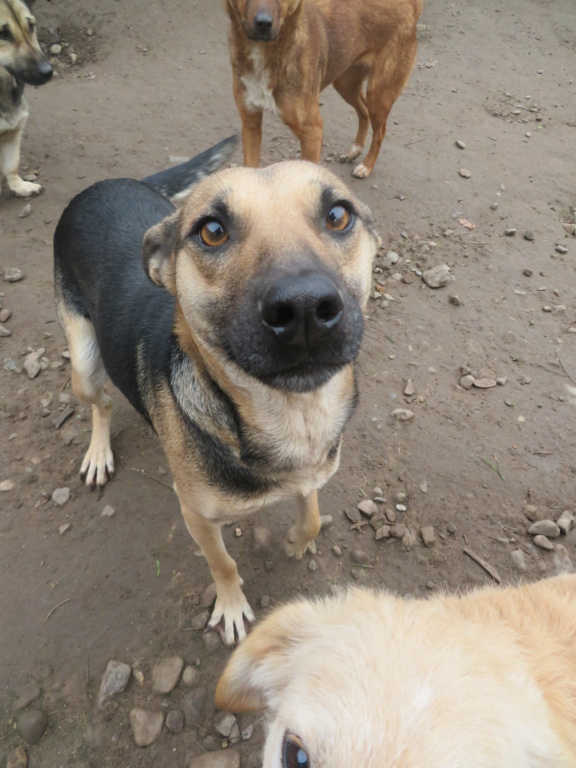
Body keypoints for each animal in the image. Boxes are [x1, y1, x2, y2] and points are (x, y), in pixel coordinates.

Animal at [0, 0, 52, 198]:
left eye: (31, 26)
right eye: (3, 34)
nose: (48, 72)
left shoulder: (13, 133)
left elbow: (11, 166)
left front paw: (20, 186)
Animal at [53, 150, 378, 640]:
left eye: (338, 216)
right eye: (212, 230)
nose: (304, 307)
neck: (295, 415)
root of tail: (100, 187)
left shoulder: (310, 473)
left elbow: (311, 516)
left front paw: (296, 542)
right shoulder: (196, 515)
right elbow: (223, 563)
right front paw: (230, 605)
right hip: (85, 363)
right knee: (102, 401)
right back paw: (97, 453)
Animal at [225, 0, 424, 178]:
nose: (263, 24)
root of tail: (412, 4)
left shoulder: (312, 132)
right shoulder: (251, 123)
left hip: (379, 93)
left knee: (380, 131)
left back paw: (366, 166)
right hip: (345, 84)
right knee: (364, 111)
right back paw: (355, 150)